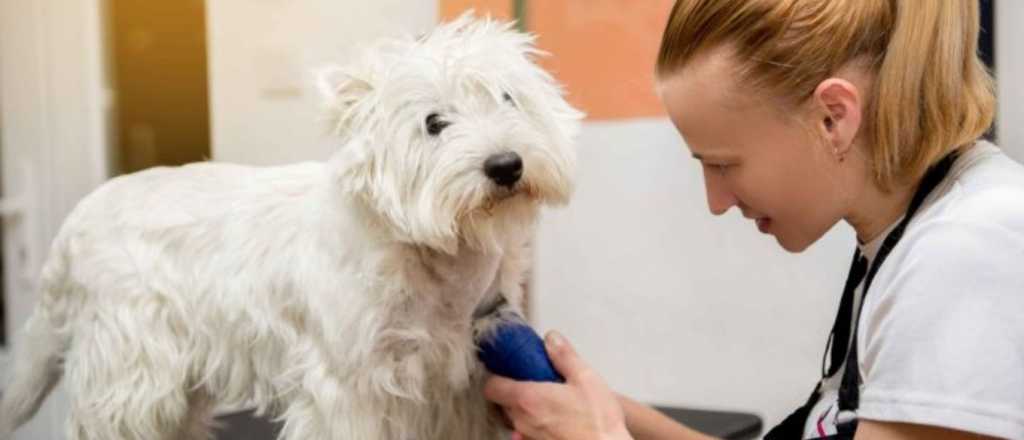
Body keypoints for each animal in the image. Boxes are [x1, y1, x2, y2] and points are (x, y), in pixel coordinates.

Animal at [0, 14, 577, 440]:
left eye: (508, 98)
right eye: (434, 123)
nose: (505, 165)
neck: (436, 256)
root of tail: (77, 219)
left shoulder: (458, 382)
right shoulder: (350, 385)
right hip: (130, 368)